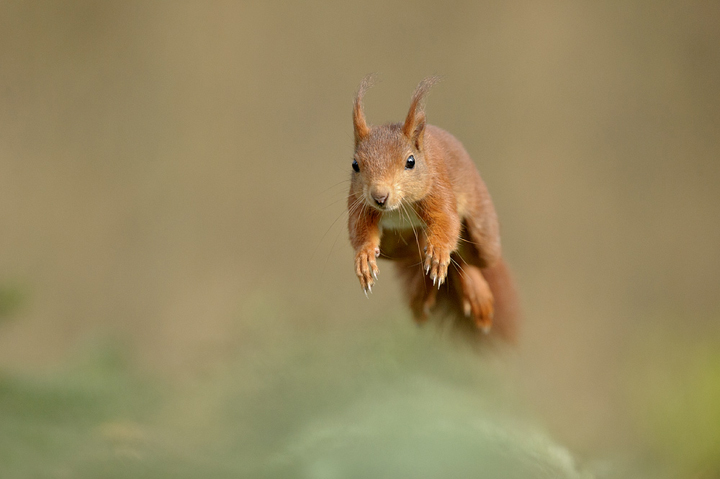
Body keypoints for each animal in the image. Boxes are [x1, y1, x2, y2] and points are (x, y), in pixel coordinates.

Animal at [347, 76, 520, 341]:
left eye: (410, 162)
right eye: (355, 165)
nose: (379, 197)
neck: (399, 207)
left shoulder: (438, 189)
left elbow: (446, 221)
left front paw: (438, 253)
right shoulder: (359, 204)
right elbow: (359, 230)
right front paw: (364, 257)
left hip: (484, 234)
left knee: (466, 255)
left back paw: (473, 289)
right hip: (395, 247)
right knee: (429, 255)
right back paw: (424, 294)